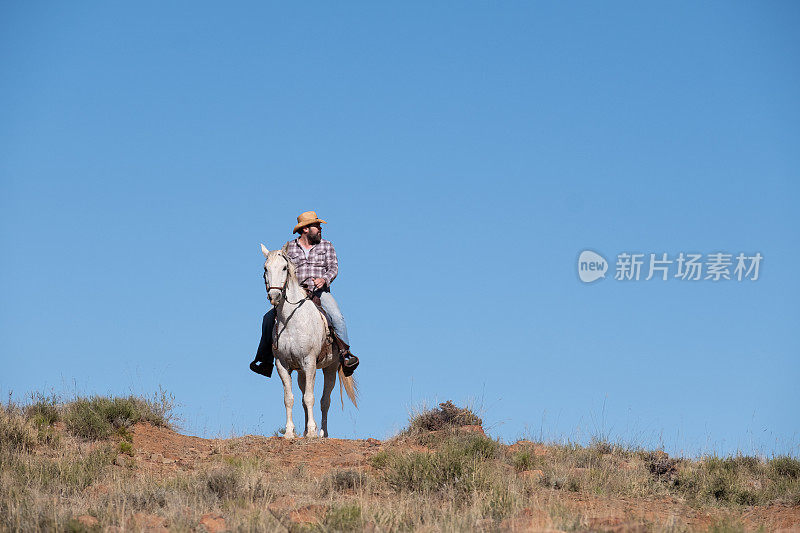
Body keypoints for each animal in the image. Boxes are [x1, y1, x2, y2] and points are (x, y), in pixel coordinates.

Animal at [260, 241, 358, 436]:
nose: (274, 296)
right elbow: (289, 398)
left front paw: (312, 432)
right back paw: (305, 432)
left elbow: (310, 397)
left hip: (330, 368)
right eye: (265, 268)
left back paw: (322, 433)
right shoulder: (283, 365)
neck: (291, 320)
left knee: (325, 401)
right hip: (301, 372)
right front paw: (290, 432)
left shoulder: (310, 361)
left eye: (284, 268)